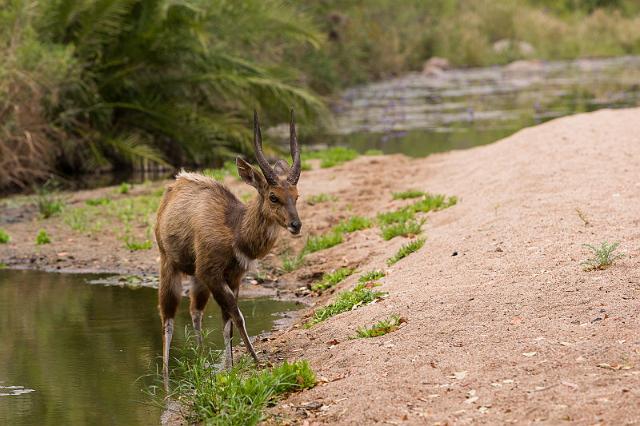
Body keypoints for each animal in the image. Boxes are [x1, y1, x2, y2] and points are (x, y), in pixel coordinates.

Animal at [156, 110, 304, 380]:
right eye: (273, 196)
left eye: (296, 196)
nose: (296, 225)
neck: (234, 231)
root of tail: (176, 183)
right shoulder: (211, 272)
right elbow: (238, 316)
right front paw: (256, 360)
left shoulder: (233, 276)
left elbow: (228, 324)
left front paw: (230, 367)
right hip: (168, 263)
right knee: (168, 317)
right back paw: (165, 374)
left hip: (195, 275)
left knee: (195, 311)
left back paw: (201, 358)